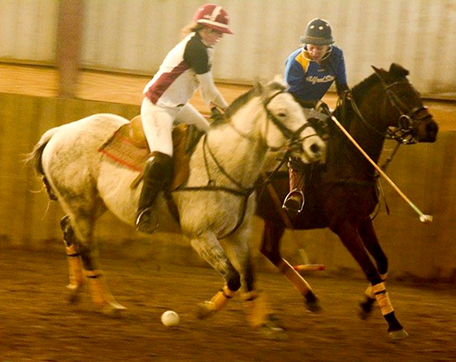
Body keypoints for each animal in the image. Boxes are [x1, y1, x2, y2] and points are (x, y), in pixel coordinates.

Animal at [28, 80, 326, 334]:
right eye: (282, 113)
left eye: (299, 110)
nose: (316, 146)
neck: (225, 164)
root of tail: (59, 131)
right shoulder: (200, 235)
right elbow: (233, 278)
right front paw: (205, 310)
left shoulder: (238, 235)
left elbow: (248, 277)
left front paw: (264, 323)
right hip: (81, 204)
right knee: (88, 248)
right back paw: (108, 305)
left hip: (92, 204)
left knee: (69, 231)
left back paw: (74, 289)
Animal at [256, 63, 438, 340]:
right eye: (403, 95)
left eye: (417, 92)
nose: (432, 129)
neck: (346, 156)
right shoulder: (343, 225)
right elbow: (371, 269)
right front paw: (394, 323)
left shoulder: (362, 219)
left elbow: (382, 262)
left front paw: (367, 305)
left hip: (275, 216)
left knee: (269, 251)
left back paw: (308, 299)